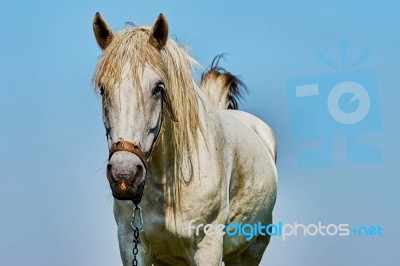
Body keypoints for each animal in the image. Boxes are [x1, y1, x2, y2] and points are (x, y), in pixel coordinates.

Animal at [92, 12, 276, 266]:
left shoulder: (208, 247)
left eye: (158, 88)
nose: (124, 175)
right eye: (103, 89)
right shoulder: (131, 245)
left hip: (251, 251)